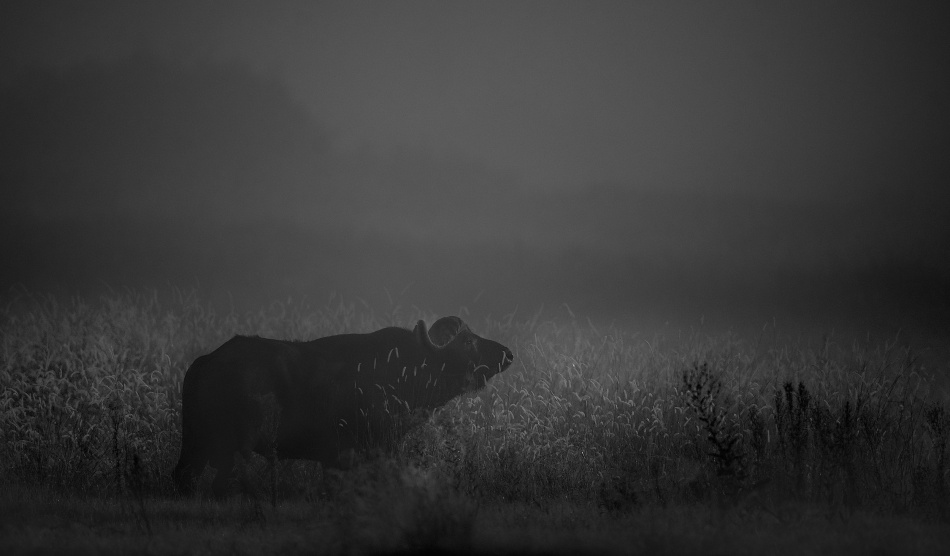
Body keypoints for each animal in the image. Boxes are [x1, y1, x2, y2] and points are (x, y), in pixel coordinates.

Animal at [171, 318, 512, 496]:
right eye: (468, 342)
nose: (507, 352)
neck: (405, 370)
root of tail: (205, 363)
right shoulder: (367, 450)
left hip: (196, 446)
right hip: (225, 449)